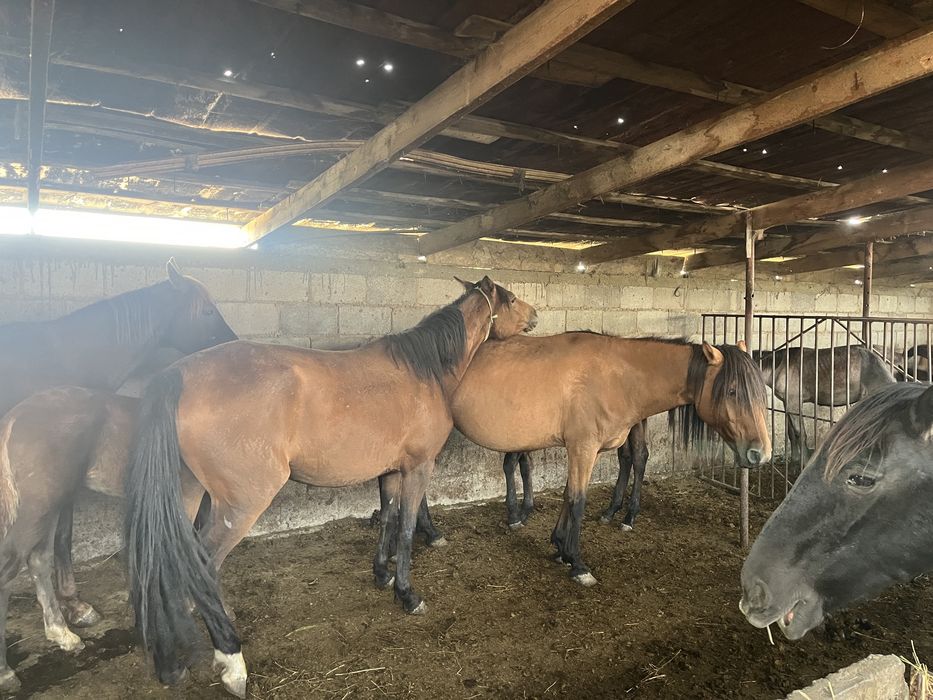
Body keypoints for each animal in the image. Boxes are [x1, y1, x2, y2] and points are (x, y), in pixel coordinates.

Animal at [123, 276, 536, 697]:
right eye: (511, 299)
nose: (534, 316)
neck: (424, 372)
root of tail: (177, 375)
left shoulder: (389, 471)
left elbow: (386, 519)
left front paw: (382, 574)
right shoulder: (418, 468)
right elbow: (405, 529)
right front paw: (407, 594)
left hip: (187, 494)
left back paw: (170, 662)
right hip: (239, 506)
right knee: (202, 567)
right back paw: (231, 660)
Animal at [449, 334, 771, 588]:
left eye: (759, 390)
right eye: (732, 390)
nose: (761, 453)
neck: (616, 376)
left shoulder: (578, 449)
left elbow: (568, 494)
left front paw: (559, 546)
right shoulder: (583, 448)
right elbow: (578, 500)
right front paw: (577, 564)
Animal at [753, 346, 895, 466]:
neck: (779, 366)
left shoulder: (794, 403)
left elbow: (800, 434)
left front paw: (804, 462)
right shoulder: (787, 403)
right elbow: (791, 433)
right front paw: (794, 460)